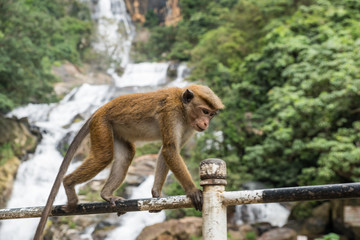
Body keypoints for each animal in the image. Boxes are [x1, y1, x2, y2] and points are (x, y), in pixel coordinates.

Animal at [35, 84, 224, 240]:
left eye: (211, 114)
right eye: (204, 111)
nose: (206, 123)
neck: (183, 107)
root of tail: (99, 110)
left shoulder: (189, 127)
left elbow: (167, 151)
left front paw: (156, 194)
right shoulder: (171, 113)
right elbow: (170, 150)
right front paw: (192, 190)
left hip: (114, 130)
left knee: (126, 154)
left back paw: (106, 194)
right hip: (102, 124)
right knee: (103, 157)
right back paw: (68, 184)